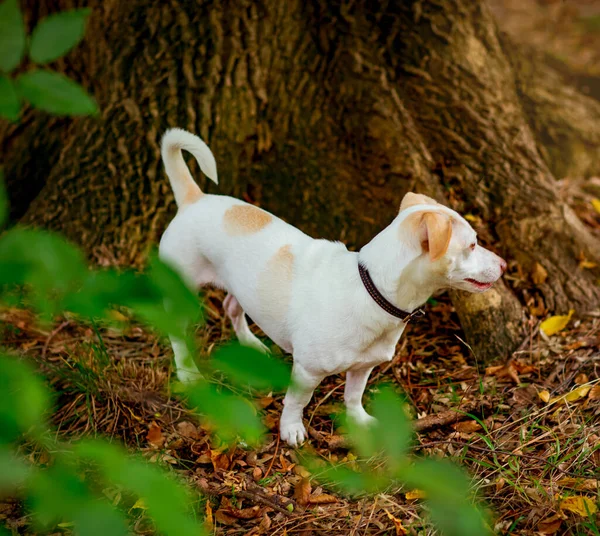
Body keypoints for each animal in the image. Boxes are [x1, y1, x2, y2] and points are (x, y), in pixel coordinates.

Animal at [159, 127, 506, 446]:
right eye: (472, 245)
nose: (504, 265)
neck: (371, 290)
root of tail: (194, 199)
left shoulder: (363, 368)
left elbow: (353, 395)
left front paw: (359, 421)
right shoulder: (306, 372)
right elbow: (296, 401)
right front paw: (291, 429)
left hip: (240, 286)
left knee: (231, 307)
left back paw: (250, 343)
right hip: (180, 291)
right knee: (176, 332)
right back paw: (187, 371)